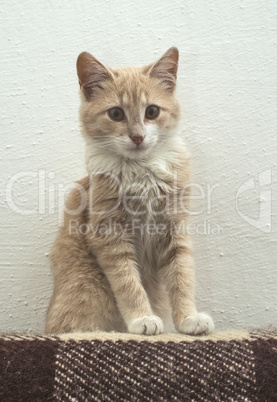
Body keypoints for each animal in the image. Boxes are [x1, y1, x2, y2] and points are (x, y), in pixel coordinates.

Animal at [45, 47, 213, 336]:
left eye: (152, 111)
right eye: (116, 114)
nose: (137, 137)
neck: (141, 171)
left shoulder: (174, 227)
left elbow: (182, 276)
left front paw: (188, 318)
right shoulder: (108, 233)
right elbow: (128, 282)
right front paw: (142, 318)